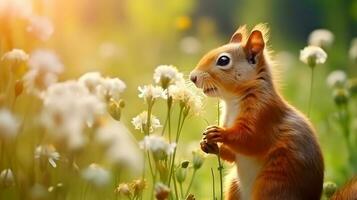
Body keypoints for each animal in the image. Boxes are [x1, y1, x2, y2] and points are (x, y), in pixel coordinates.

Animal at [189, 24, 326, 199]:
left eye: (223, 60)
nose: (193, 77)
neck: (233, 101)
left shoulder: (265, 114)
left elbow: (251, 139)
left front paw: (219, 133)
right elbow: (233, 155)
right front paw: (209, 145)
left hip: (272, 185)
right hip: (234, 186)